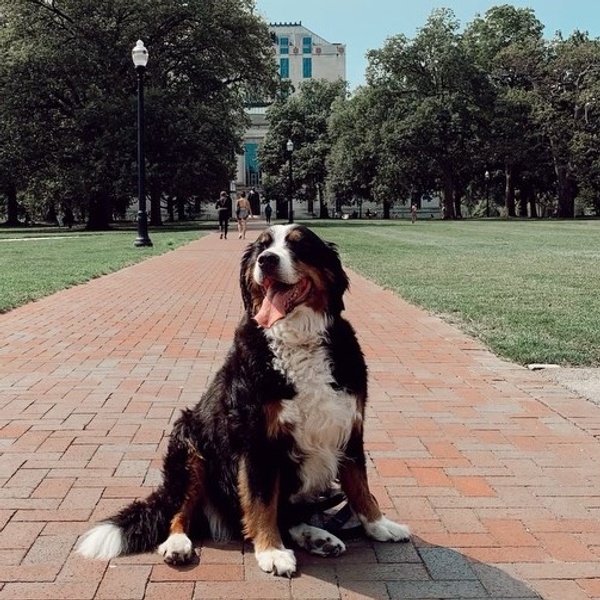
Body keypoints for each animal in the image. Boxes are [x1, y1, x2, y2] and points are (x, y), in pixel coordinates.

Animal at [76, 223, 408, 576]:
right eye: (262, 246)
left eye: (299, 245)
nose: (267, 260)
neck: (297, 341)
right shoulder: (257, 438)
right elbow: (261, 501)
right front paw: (271, 551)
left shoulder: (349, 424)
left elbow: (359, 485)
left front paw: (379, 525)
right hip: (190, 446)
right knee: (181, 510)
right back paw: (178, 544)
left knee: (287, 515)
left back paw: (318, 537)